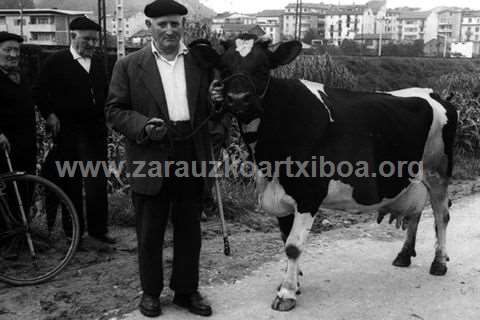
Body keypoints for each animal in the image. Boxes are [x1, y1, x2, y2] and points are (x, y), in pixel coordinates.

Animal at [188, 36, 458, 312]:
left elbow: (293, 246)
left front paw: (286, 294)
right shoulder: (281, 197)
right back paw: (404, 255)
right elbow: (285, 240)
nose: (238, 98)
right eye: (223, 67)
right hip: (414, 177)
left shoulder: (309, 195)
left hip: (438, 171)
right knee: (416, 212)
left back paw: (439, 262)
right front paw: (293, 284)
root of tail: (433, 93)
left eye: (263, 68)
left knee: (441, 214)